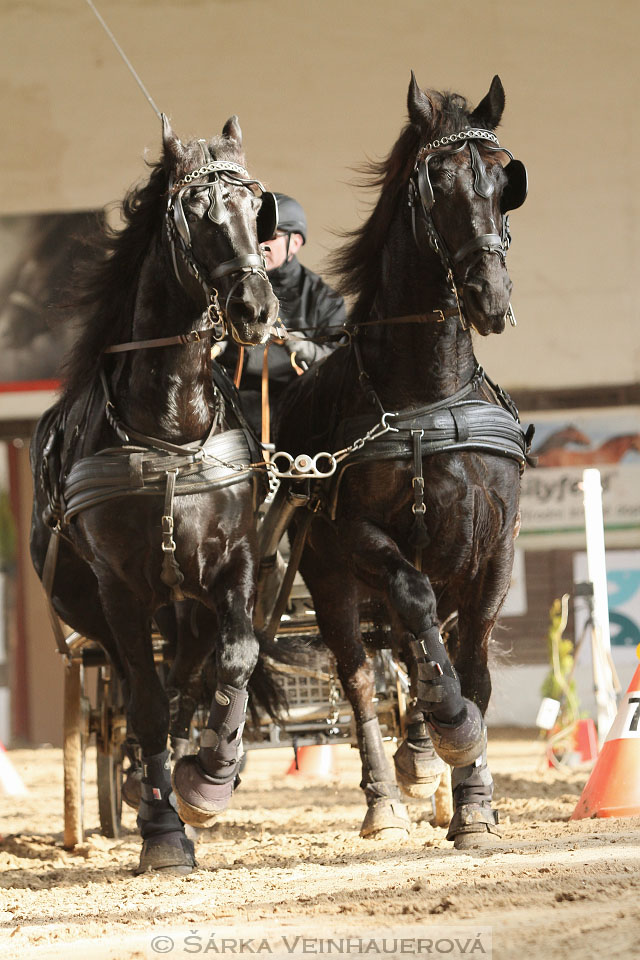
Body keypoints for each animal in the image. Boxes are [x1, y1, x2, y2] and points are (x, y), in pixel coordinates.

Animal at [31, 116, 278, 872]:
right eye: (196, 216)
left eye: (256, 209)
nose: (256, 307)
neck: (171, 429)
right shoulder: (120, 590)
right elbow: (140, 704)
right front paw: (164, 829)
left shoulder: (235, 563)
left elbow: (236, 658)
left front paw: (210, 781)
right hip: (104, 614)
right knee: (141, 695)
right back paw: (145, 790)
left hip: (187, 608)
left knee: (188, 682)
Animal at [276, 79, 528, 852]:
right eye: (436, 181)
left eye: (506, 179)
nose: (491, 297)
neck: (432, 394)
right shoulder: (365, 541)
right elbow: (416, 628)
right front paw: (448, 732)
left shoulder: (493, 552)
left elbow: (472, 665)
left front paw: (472, 802)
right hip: (329, 577)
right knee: (362, 673)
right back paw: (386, 798)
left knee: (415, 650)